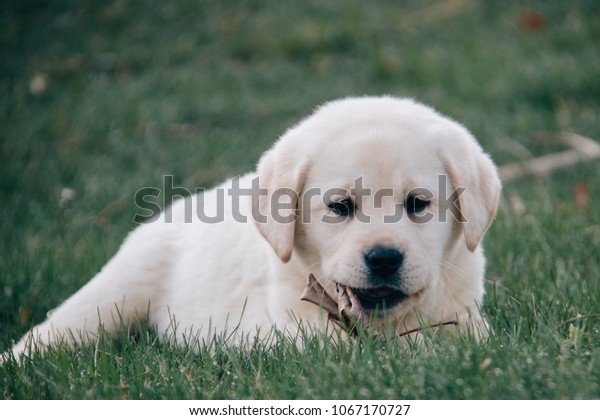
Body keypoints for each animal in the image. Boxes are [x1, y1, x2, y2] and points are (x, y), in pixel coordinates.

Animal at [9, 96, 502, 358]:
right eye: (340, 207)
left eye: (418, 204)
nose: (383, 258)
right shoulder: (291, 322)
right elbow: (332, 349)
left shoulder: (463, 309)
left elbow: (461, 338)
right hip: (115, 292)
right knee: (55, 330)